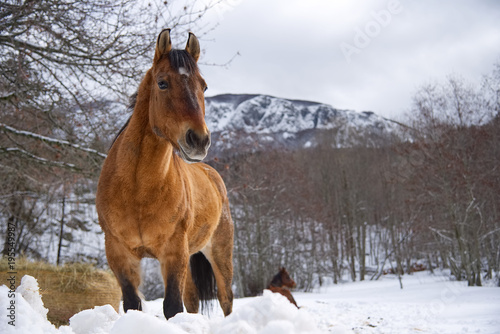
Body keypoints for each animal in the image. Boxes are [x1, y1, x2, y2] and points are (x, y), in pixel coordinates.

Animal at [96, 30, 233, 320]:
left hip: (220, 251)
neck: (137, 187)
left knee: (226, 298)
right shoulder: (119, 253)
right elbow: (132, 304)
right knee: (193, 300)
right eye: (162, 83)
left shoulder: (173, 252)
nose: (199, 140)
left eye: (204, 86)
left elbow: (172, 306)